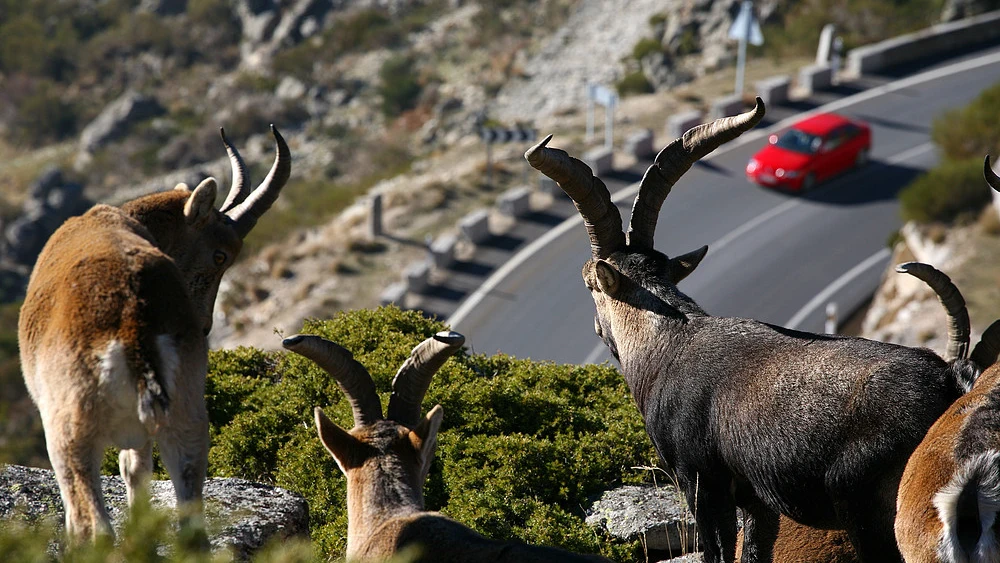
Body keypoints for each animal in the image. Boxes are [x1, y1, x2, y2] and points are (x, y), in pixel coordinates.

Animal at [17, 125, 292, 540]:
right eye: (220, 254)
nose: (206, 325)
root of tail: (135, 321)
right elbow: (136, 470)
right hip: (188, 417)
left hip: (70, 429)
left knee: (90, 523)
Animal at [528, 99, 972, 560]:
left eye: (588, 283)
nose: (597, 329)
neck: (664, 345)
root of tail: (950, 384)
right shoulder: (756, 500)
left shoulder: (701, 483)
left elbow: (716, 549)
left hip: (865, 504)